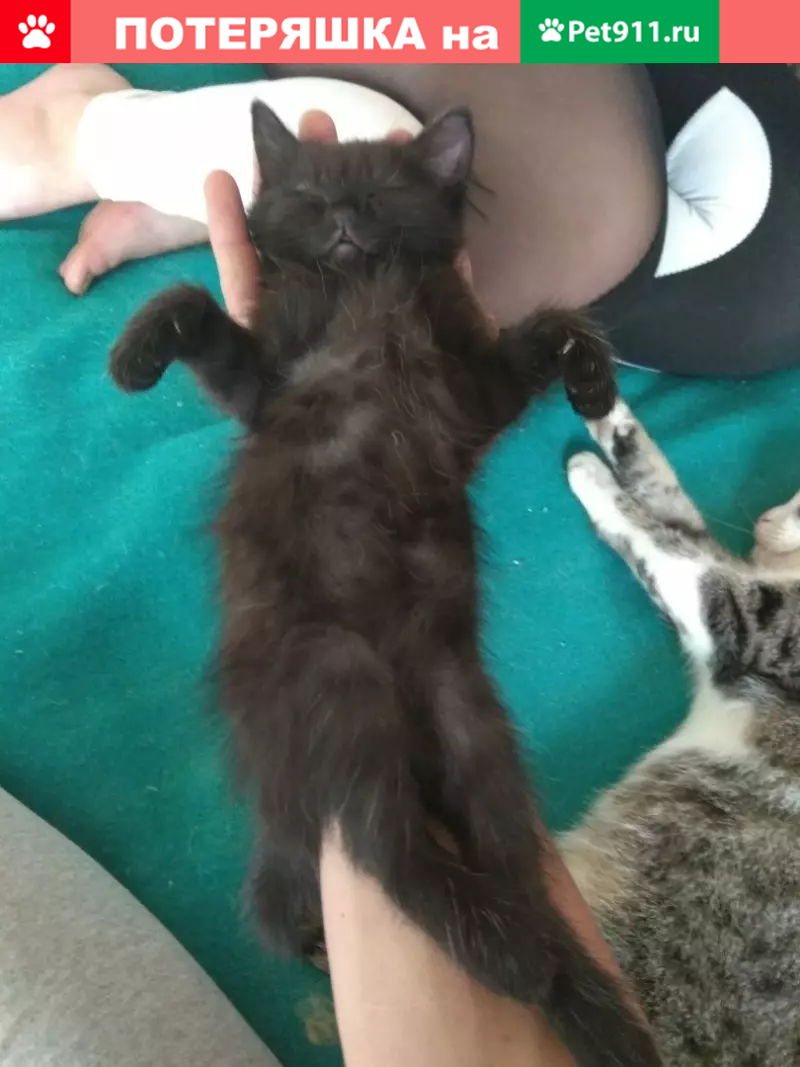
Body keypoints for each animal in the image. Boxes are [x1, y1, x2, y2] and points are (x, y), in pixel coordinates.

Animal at [109, 102, 661, 1067]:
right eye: (308, 194)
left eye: (379, 197)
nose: (339, 217)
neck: (364, 289)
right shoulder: (267, 379)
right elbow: (194, 307)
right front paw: (137, 355)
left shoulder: (471, 384)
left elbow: (554, 323)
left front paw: (591, 374)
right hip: (336, 673)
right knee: (384, 843)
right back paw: (524, 960)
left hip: (465, 711)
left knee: (488, 852)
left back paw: (562, 981)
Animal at [563, 399, 800, 1067]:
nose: (764, 519)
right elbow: (664, 501)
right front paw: (608, 424)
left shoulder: (742, 615)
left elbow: (663, 535)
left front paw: (591, 478)